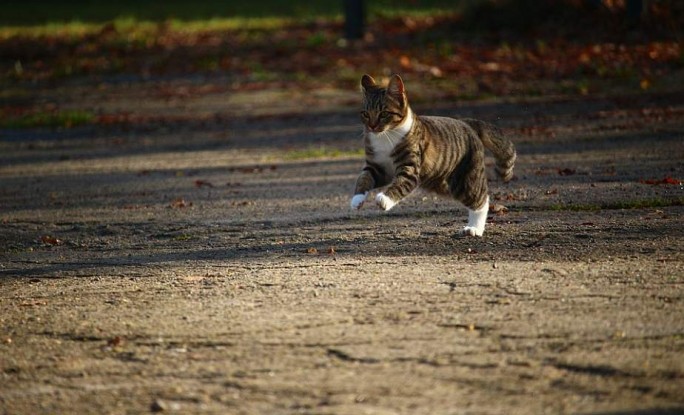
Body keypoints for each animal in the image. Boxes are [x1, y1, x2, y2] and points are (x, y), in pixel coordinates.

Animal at [350, 75, 516, 237]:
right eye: (365, 114)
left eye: (384, 113)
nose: (371, 126)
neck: (385, 137)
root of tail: (467, 123)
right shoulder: (378, 168)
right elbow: (364, 178)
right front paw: (356, 199)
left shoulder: (410, 168)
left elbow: (401, 183)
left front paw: (384, 199)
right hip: (442, 182)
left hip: (465, 178)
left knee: (481, 198)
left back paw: (474, 228)